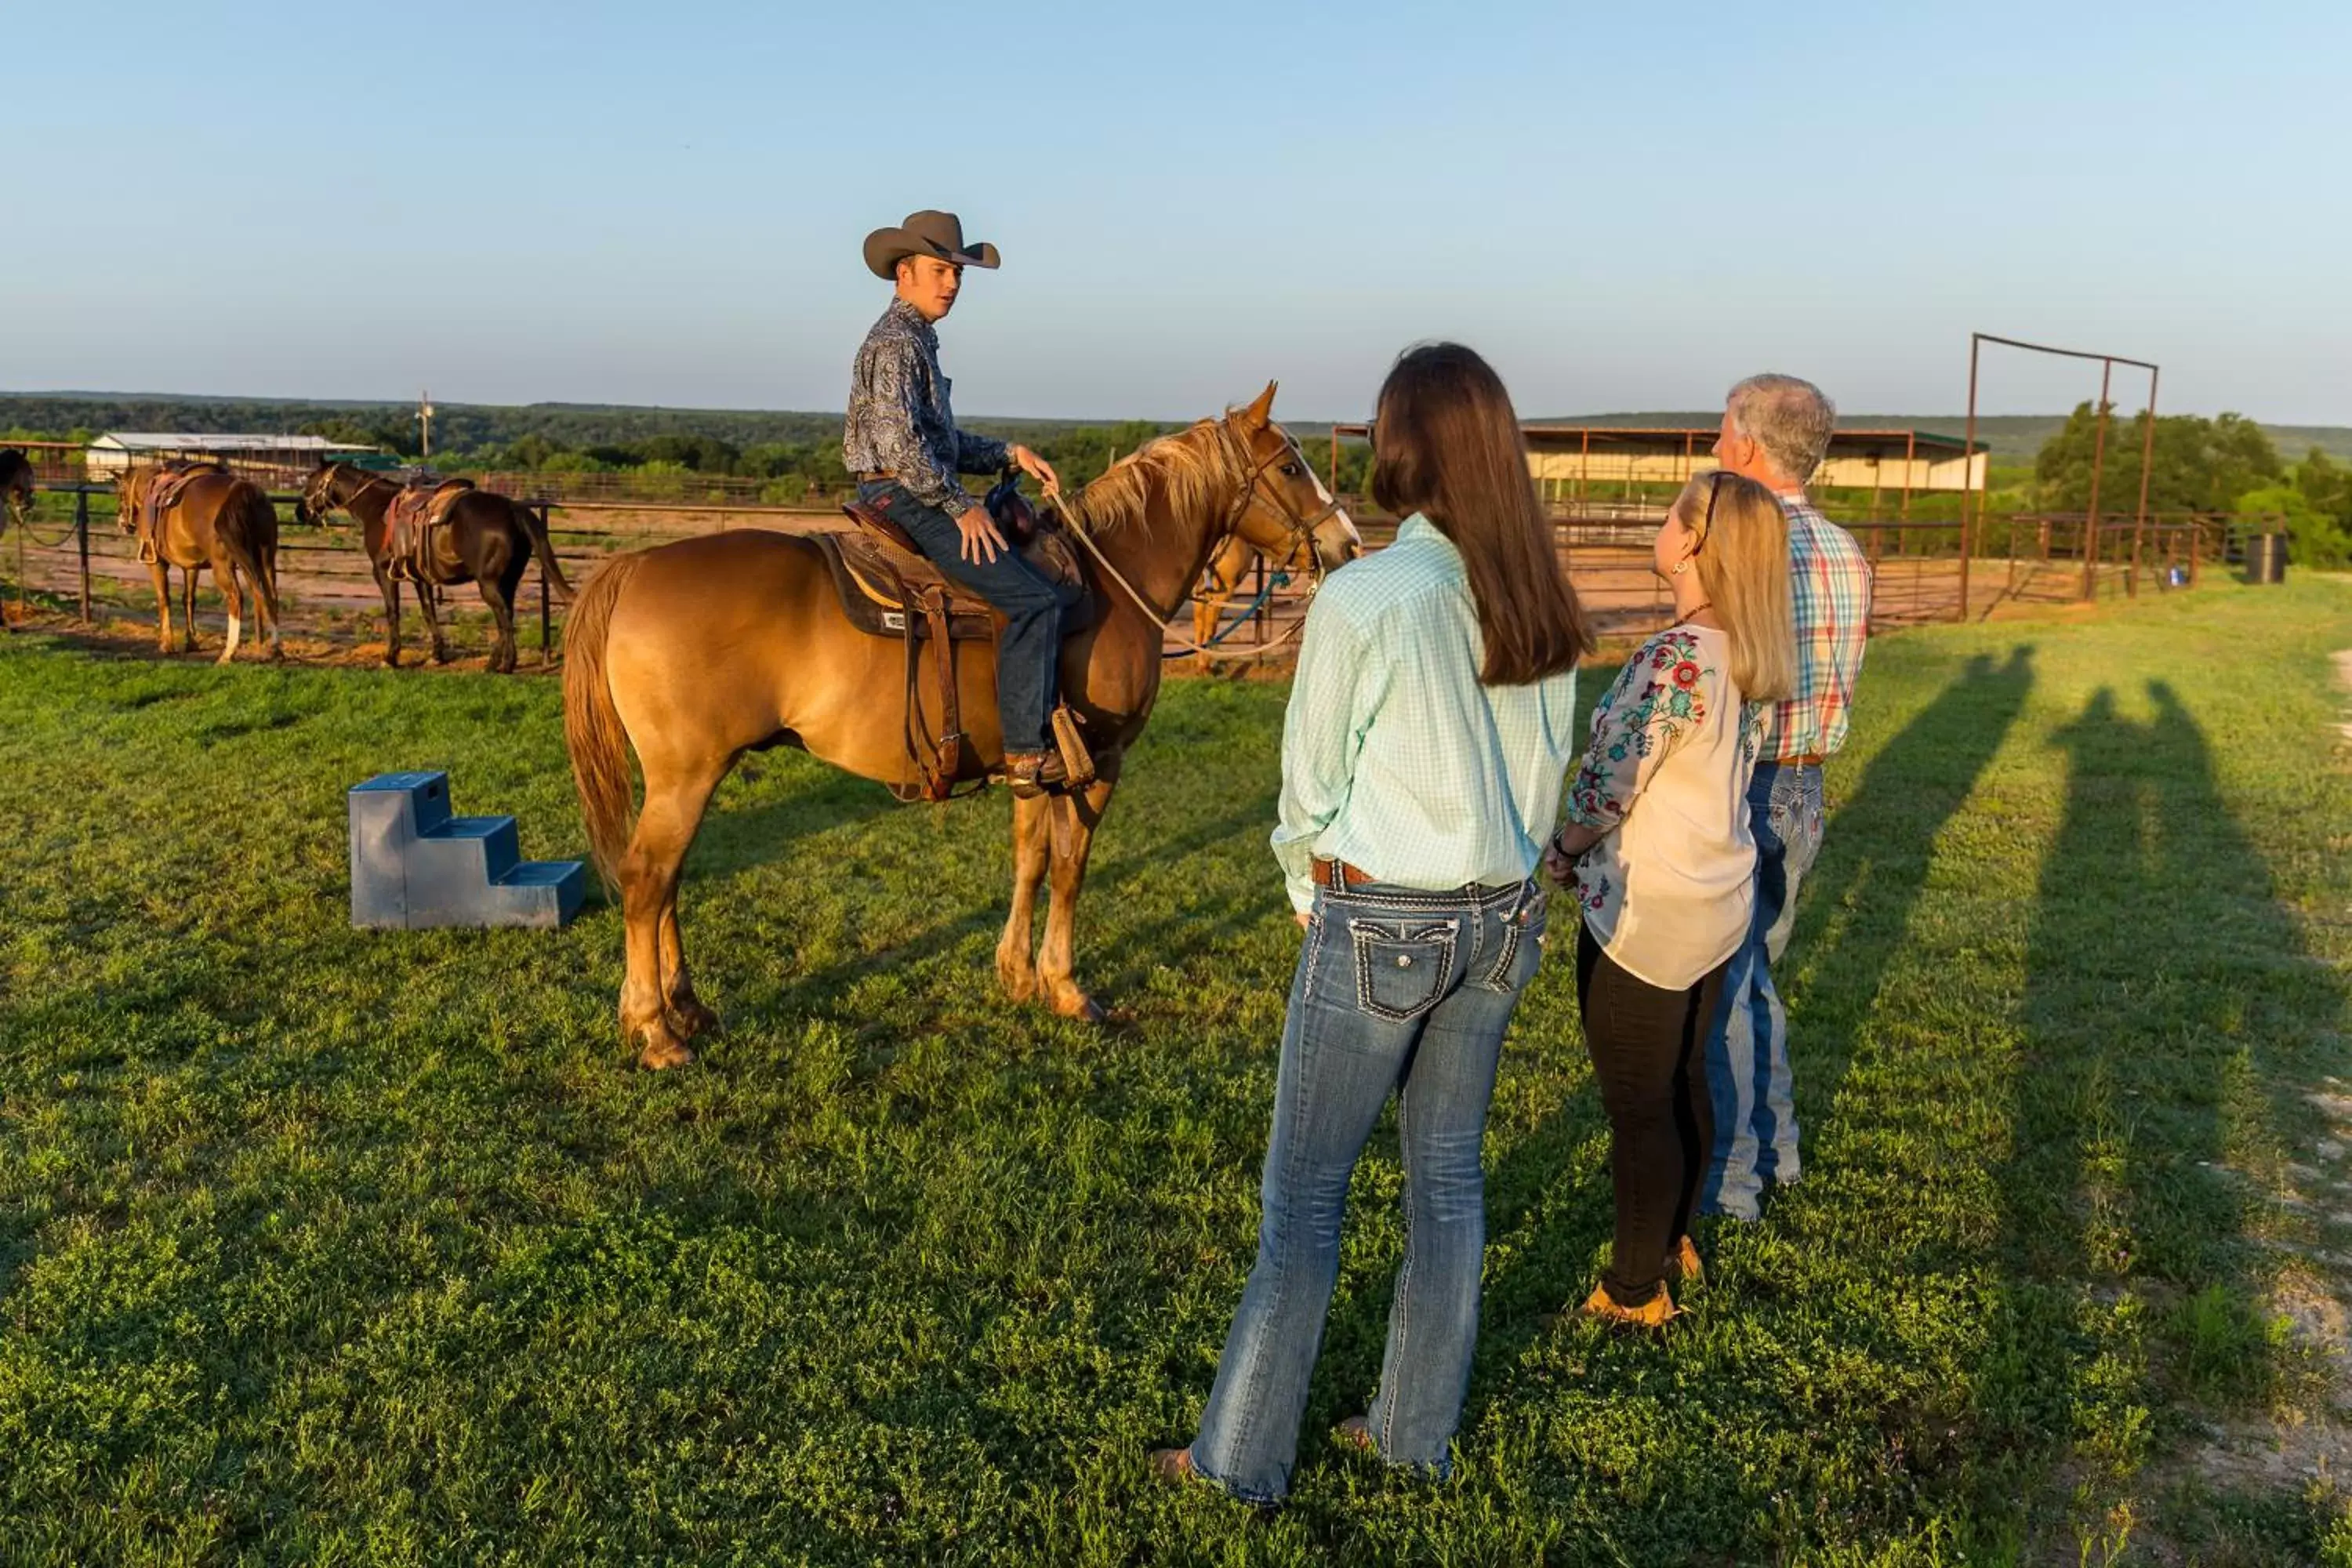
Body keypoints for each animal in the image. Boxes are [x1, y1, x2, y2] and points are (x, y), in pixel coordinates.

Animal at [113, 463, 282, 667]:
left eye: (120, 492)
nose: (123, 522)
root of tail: (241, 490)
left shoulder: (157, 563)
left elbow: (164, 599)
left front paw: (167, 644)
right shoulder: (192, 567)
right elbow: (189, 600)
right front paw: (191, 641)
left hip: (223, 566)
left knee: (235, 598)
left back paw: (228, 653)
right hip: (265, 559)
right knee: (270, 595)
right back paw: (274, 649)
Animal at [296, 460, 576, 667]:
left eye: (310, 481)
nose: (300, 513)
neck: (376, 507)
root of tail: (513, 509)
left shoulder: (383, 573)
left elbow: (392, 611)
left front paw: (391, 657)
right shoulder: (420, 577)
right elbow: (429, 612)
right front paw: (437, 655)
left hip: (489, 583)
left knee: (504, 616)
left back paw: (507, 664)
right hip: (508, 581)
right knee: (505, 614)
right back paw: (493, 662)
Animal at [562, 383, 1364, 1067]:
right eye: (1291, 466)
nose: (1350, 544)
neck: (1109, 579)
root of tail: (635, 566)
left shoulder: (1035, 764)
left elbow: (1029, 859)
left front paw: (1017, 975)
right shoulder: (1102, 761)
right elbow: (1069, 868)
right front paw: (1066, 987)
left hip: (689, 776)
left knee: (668, 880)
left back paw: (686, 1007)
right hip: (686, 776)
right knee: (646, 878)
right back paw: (655, 1030)